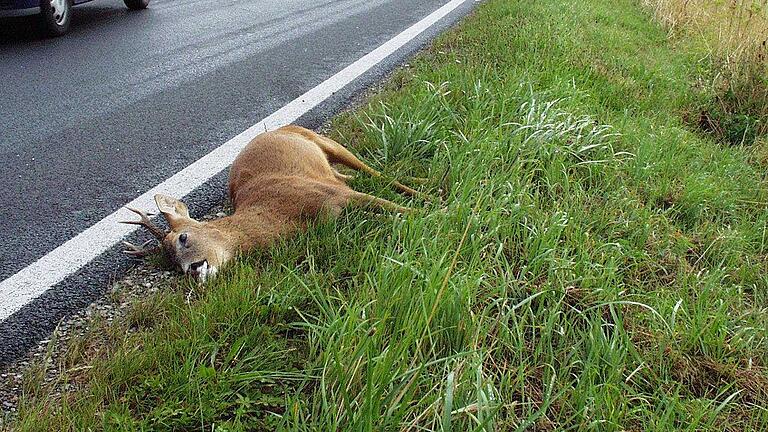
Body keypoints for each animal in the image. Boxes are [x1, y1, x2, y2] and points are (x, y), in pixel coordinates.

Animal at [121, 124, 420, 284]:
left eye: (183, 237)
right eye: (172, 266)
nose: (193, 271)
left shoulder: (332, 193)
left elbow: (402, 209)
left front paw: (431, 212)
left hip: (326, 143)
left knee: (374, 173)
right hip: (330, 170)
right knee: (355, 176)